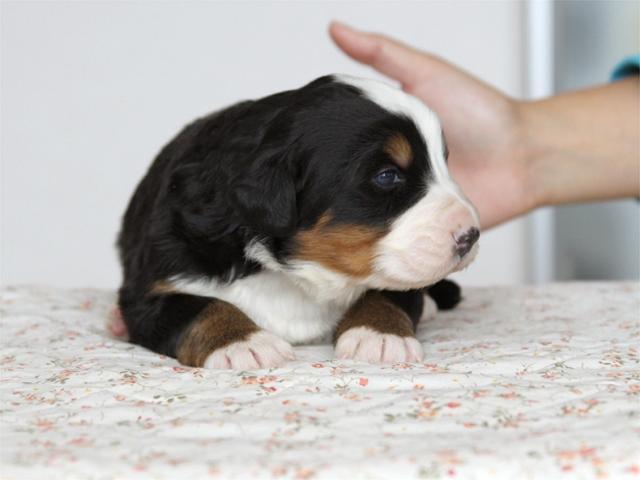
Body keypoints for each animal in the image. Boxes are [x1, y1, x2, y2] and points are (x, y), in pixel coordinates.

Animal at [116, 75, 480, 369]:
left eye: (443, 162)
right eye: (387, 176)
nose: (471, 235)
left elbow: (392, 292)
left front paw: (378, 334)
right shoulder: (151, 289)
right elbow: (198, 307)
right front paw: (242, 343)